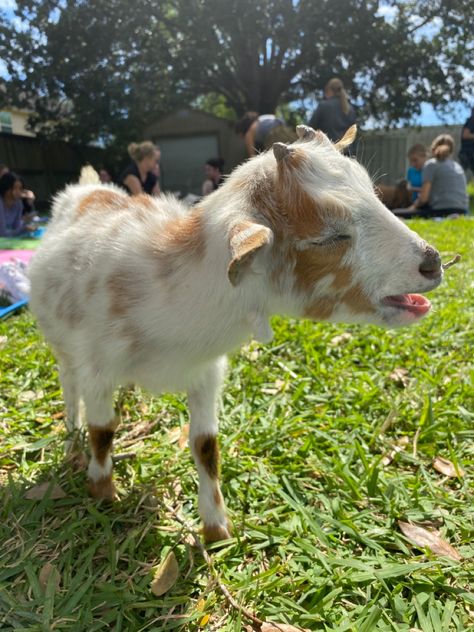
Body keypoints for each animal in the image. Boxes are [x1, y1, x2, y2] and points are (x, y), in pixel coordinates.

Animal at [29, 124, 442, 544]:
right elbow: (102, 431)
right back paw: (71, 439)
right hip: (63, 348)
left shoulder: (205, 373)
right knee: (69, 388)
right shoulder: (99, 369)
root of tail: (88, 189)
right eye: (327, 237)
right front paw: (102, 491)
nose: (433, 262)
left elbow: (205, 446)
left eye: (374, 193)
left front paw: (216, 529)